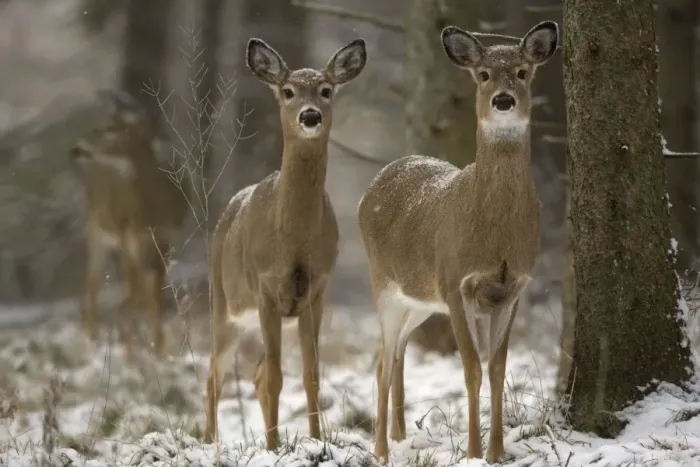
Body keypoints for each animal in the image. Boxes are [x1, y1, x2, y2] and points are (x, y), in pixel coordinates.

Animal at [70, 89, 188, 360]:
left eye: (111, 127)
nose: (77, 148)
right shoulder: (129, 239)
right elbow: (135, 292)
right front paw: (129, 351)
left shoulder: (165, 241)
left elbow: (157, 294)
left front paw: (159, 348)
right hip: (98, 232)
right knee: (93, 281)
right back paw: (90, 339)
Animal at [204, 37, 367, 449]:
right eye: (288, 91)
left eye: (326, 90)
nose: (310, 116)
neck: (294, 241)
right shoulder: (266, 289)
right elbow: (278, 378)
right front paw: (275, 448)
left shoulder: (317, 291)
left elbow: (311, 375)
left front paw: (314, 441)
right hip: (224, 305)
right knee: (214, 376)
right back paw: (210, 441)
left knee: (254, 375)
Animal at [357, 21, 559, 463]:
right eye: (483, 74)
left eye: (522, 72)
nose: (503, 100)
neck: (495, 234)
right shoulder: (455, 283)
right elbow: (470, 368)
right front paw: (472, 450)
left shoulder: (513, 288)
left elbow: (498, 368)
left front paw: (497, 452)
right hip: (383, 283)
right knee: (381, 363)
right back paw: (381, 449)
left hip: (418, 299)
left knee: (398, 352)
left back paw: (399, 435)